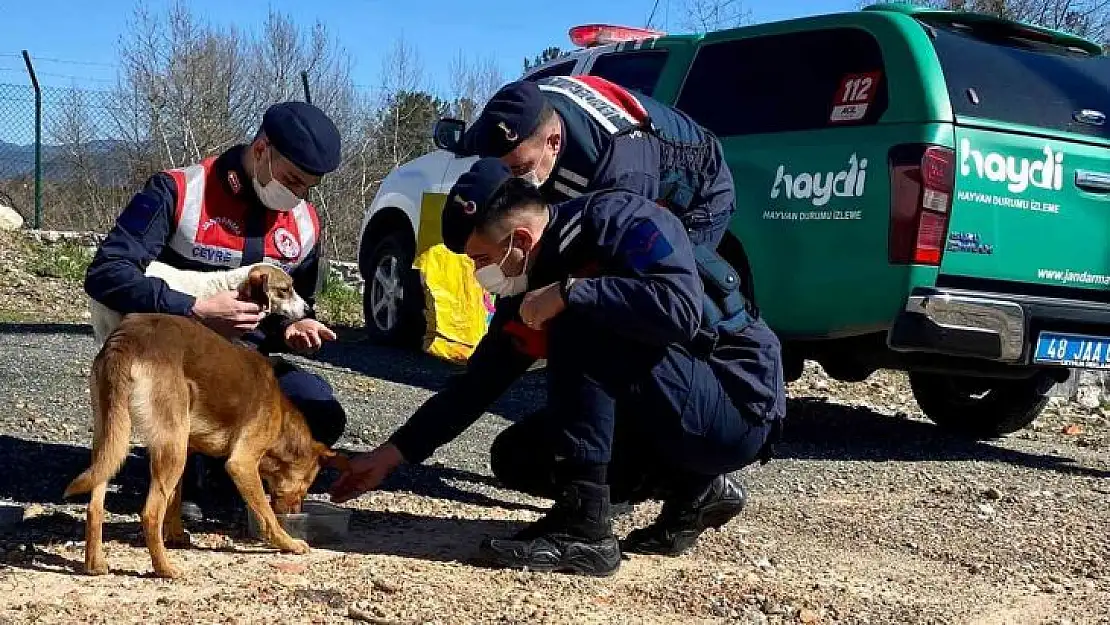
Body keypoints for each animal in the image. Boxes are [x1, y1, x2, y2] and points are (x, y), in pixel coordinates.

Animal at [63, 310, 333, 577]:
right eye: (307, 485)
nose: (296, 514)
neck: (282, 418)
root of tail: (128, 337)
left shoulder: (185, 450)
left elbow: (174, 500)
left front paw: (176, 535)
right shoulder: (241, 464)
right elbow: (267, 516)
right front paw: (288, 543)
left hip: (117, 440)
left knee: (95, 506)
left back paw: (94, 564)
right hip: (169, 448)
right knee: (150, 513)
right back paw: (165, 568)